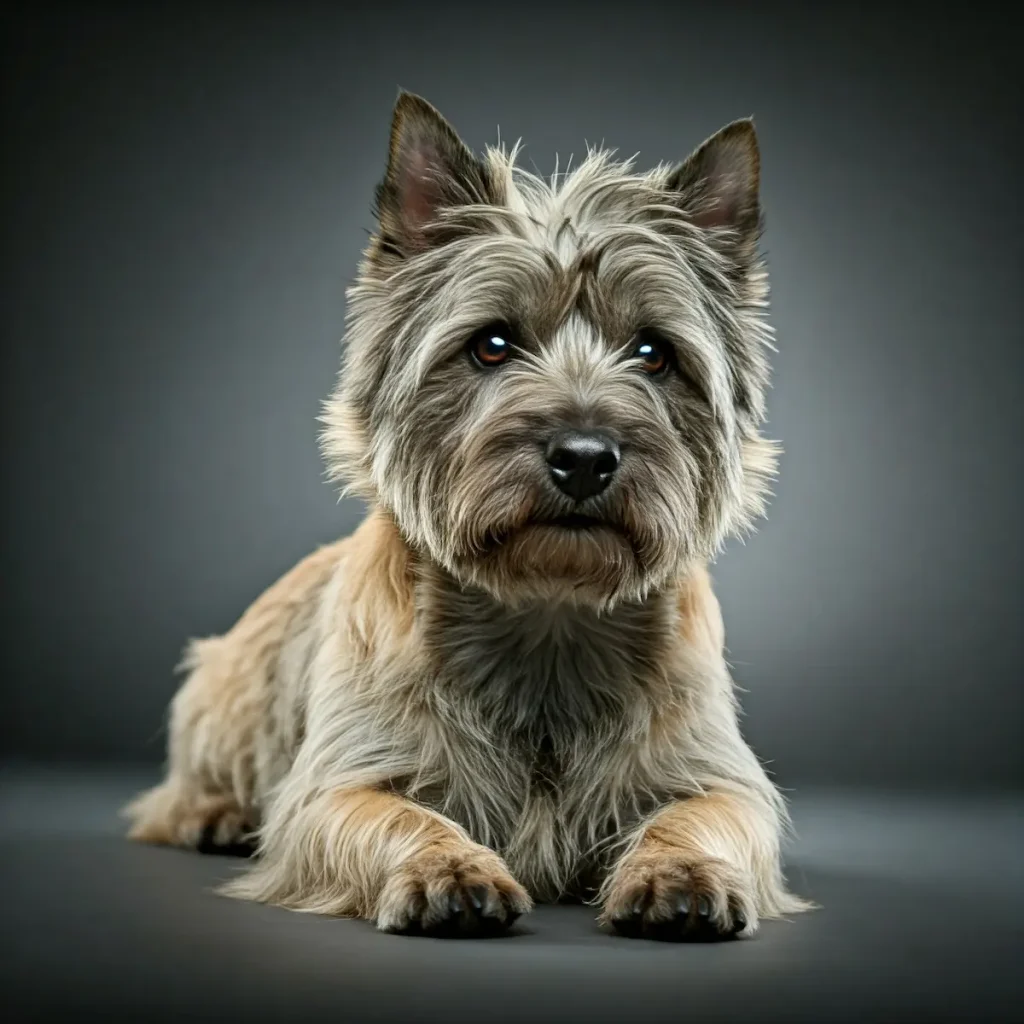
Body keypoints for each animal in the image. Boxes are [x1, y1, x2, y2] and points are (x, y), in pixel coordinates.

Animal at [123, 92, 815, 937]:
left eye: (654, 353)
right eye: (491, 344)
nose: (584, 456)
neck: (547, 619)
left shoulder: (716, 774)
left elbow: (703, 815)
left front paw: (681, 874)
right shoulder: (336, 783)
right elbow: (394, 815)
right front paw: (447, 870)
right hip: (227, 692)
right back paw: (213, 814)